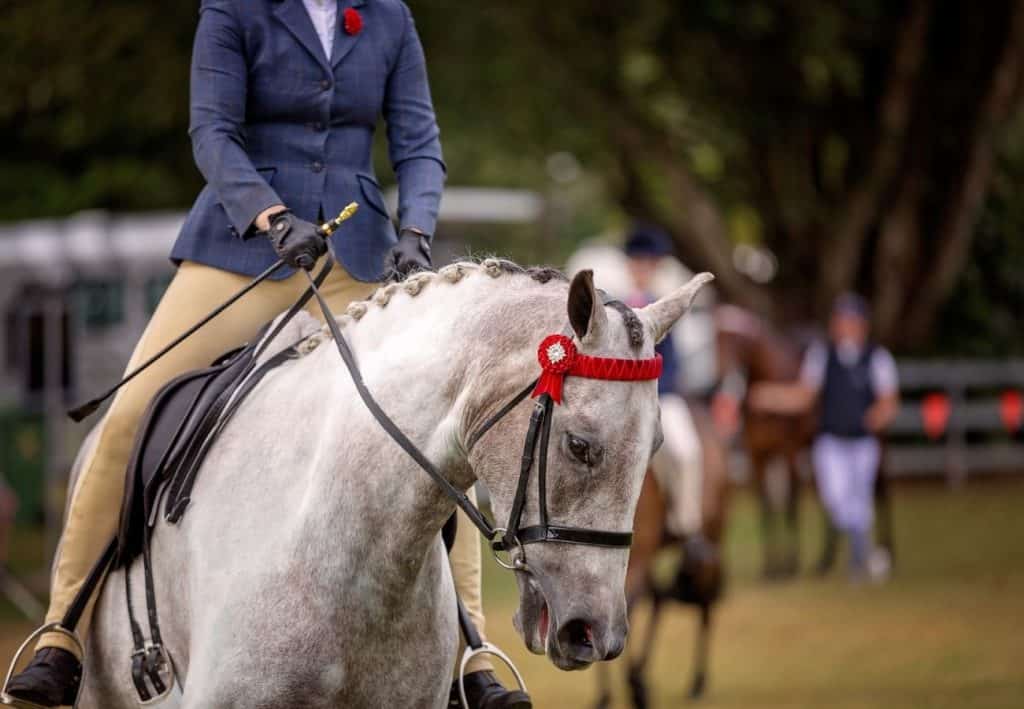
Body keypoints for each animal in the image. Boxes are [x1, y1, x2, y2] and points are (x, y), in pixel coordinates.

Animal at [593, 401, 729, 704]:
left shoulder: (636, 559)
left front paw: (632, 689)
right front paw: (609, 695)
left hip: (710, 536)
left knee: (704, 601)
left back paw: (697, 683)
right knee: (660, 600)